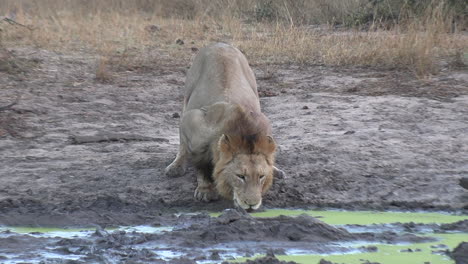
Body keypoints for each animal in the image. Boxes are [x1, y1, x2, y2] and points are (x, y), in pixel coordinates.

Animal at [165, 42, 282, 209]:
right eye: (240, 176)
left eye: (261, 176)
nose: (252, 204)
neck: (243, 130)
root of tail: (219, 43)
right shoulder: (193, 121)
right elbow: (200, 163)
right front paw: (205, 189)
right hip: (187, 96)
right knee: (182, 144)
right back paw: (176, 167)